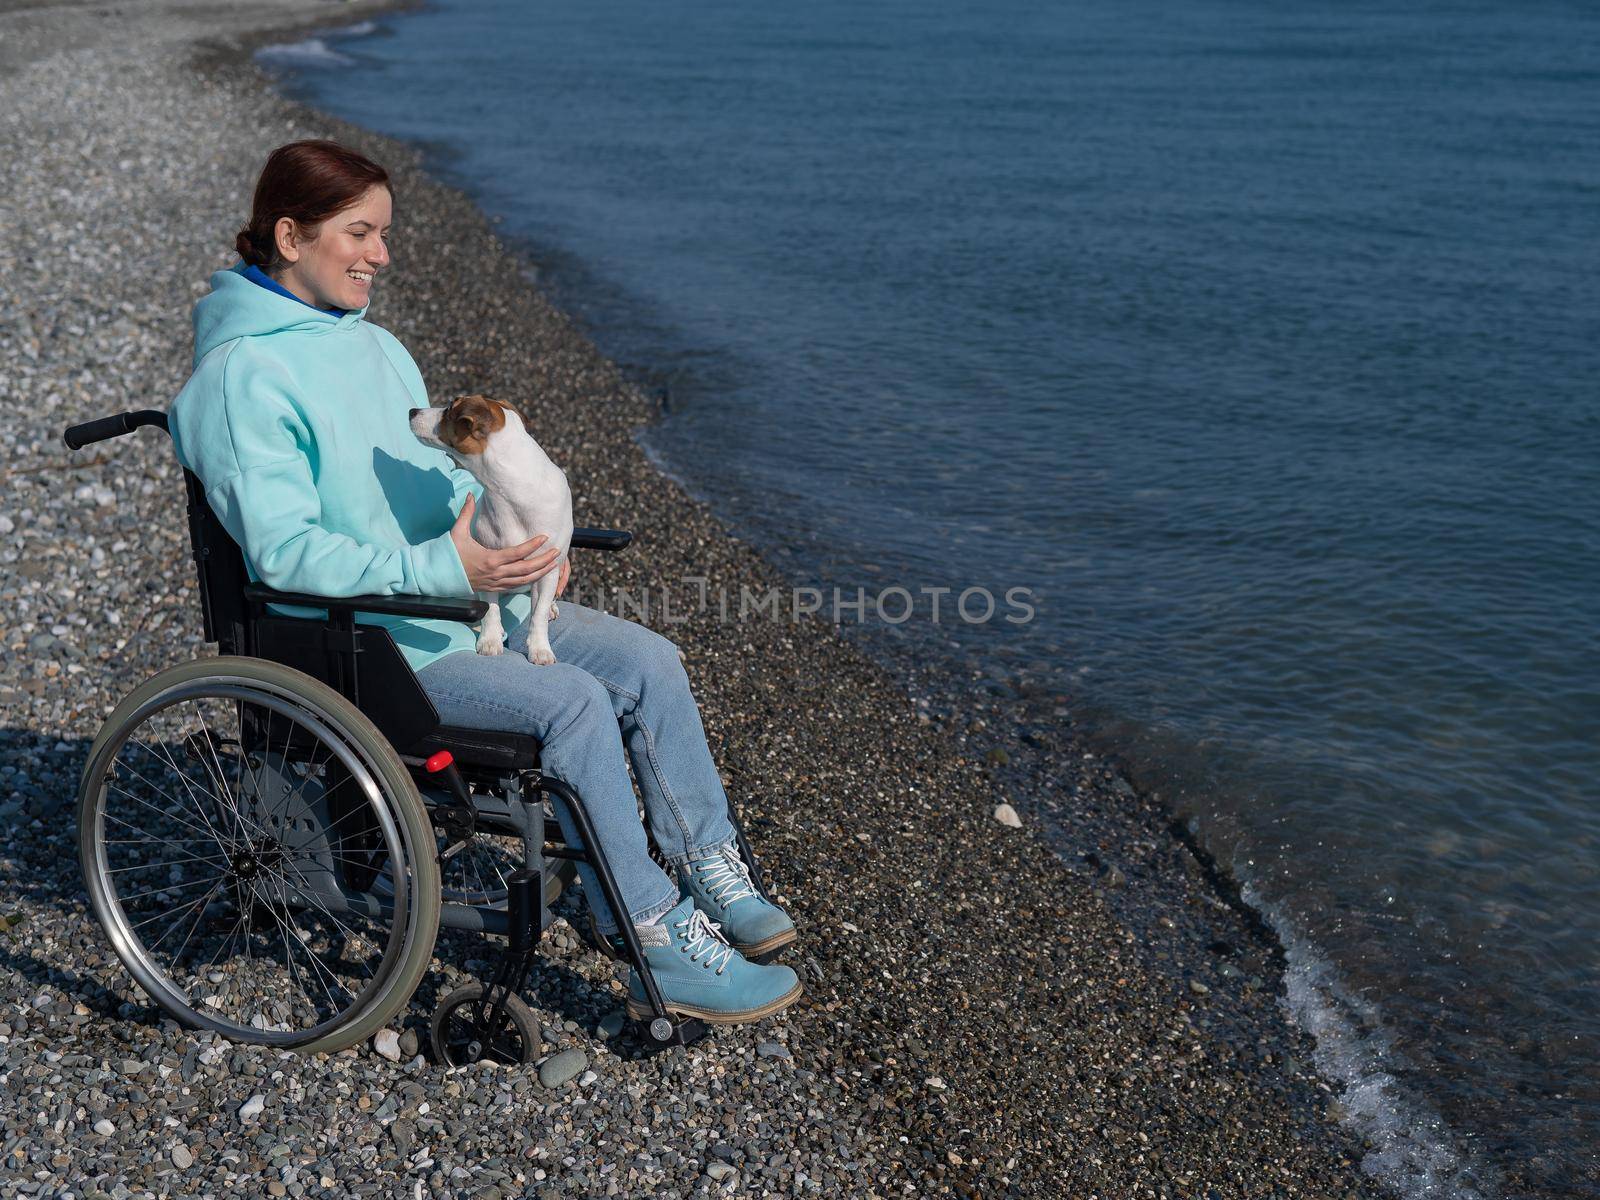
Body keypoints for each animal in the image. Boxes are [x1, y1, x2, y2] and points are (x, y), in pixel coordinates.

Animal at [406, 401, 576, 668]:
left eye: (449, 410)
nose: (412, 411)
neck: (512, 495)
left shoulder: (549, 568)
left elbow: (537, 614)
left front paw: (540, 648)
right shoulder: (488, 567)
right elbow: (490, 608)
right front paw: (490, 640)